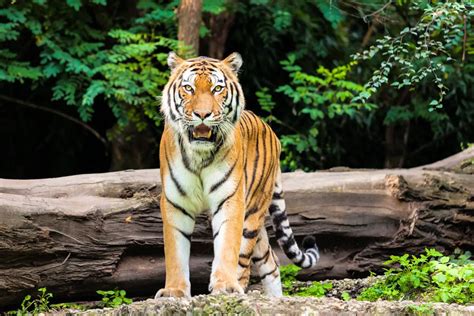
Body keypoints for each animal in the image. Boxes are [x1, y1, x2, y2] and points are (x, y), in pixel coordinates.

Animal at [155, 51, 318, 298]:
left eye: (217, 89)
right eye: (189, 88)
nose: (202, 114)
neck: (200, 155)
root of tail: (271, 131)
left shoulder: (231, 199)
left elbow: (227, 246)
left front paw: (225, 286)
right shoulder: (175, 203)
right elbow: (175, 253)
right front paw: (174, 291)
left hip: (253, 212)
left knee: (246, 259)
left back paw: (239, 288)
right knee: (271, 261)